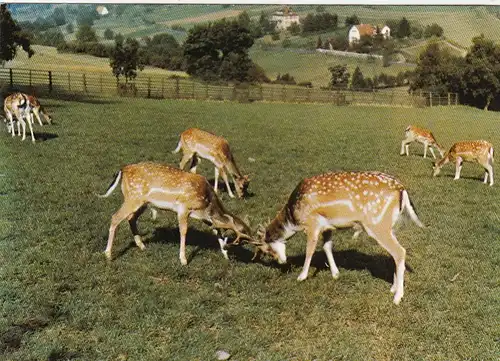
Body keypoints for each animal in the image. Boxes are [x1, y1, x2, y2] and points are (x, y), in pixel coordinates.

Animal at [98, 162, 254, 262]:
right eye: (243, 235)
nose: (254, 242)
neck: (206, 200)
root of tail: (122, 170)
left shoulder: (205, 217)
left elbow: (217, 231)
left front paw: (225, 255)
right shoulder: (183, 208)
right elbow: (183, 231)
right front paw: (183, 259)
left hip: (142, 203)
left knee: (131, 218)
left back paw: (142, 245)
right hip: (132, 198)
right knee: (115, 217)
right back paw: (108, 254)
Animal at [252, 172, 424, 304]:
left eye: (267, 250)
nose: (281, 262)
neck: (293, 218)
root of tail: (402, 189)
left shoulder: (312, 224)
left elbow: (310, 250)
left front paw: (301, 276)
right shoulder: (328, 227)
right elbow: (327, 246)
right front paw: (335, 274)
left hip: (377, 224)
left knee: (400, 251)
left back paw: (397, 297)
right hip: (389, 226)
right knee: (394, 253)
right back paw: (393, 288)